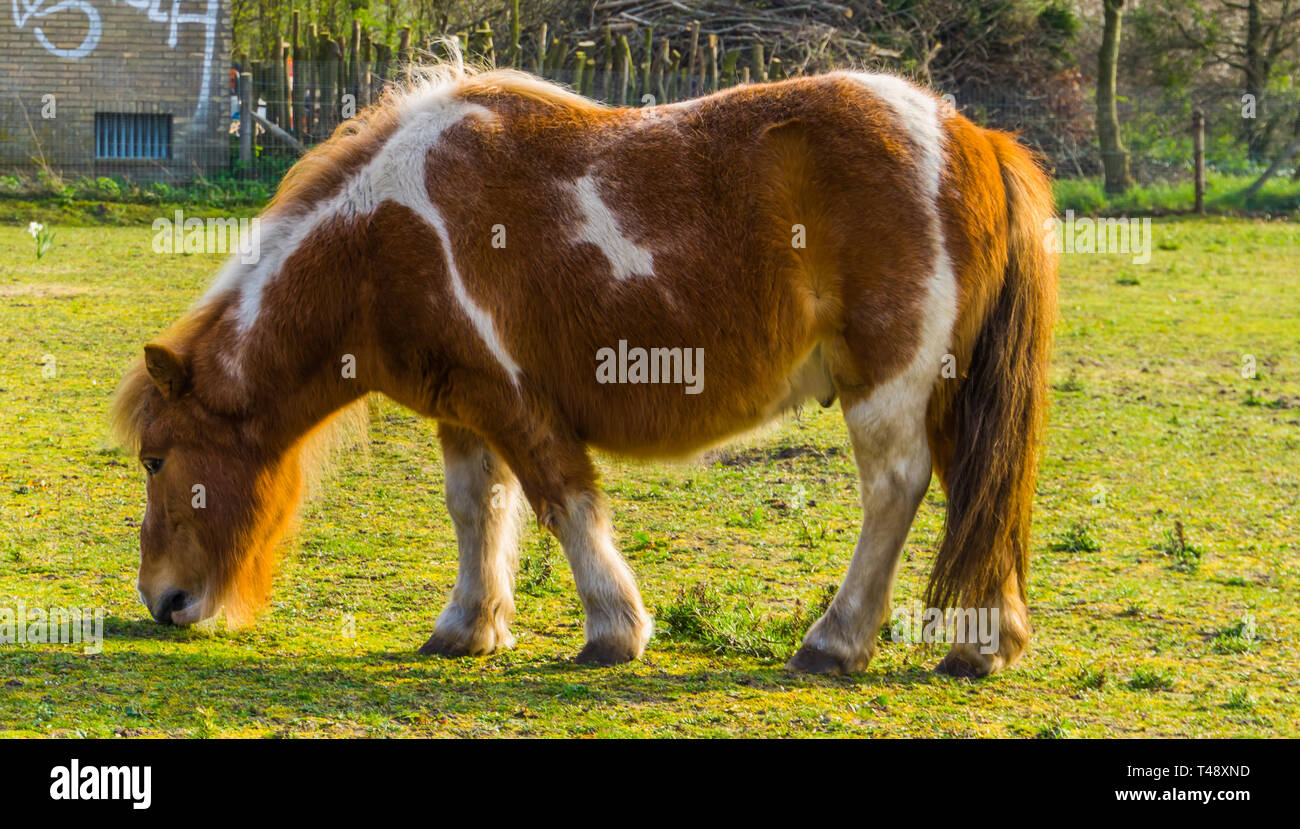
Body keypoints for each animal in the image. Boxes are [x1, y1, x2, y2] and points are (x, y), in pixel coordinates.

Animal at [111, 50, 1055, 675]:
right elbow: (477, 510)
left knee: (895, 490)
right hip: (945, 391)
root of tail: (968, 134)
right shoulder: (464, 407)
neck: (389, 233)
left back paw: (834, 641)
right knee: (973, 489)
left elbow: (562, 503)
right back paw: (985, 642)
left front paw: (612, 629)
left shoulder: (517, 401)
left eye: (156, 460)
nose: (163, 602)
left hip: (889, 386)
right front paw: (468, 625)